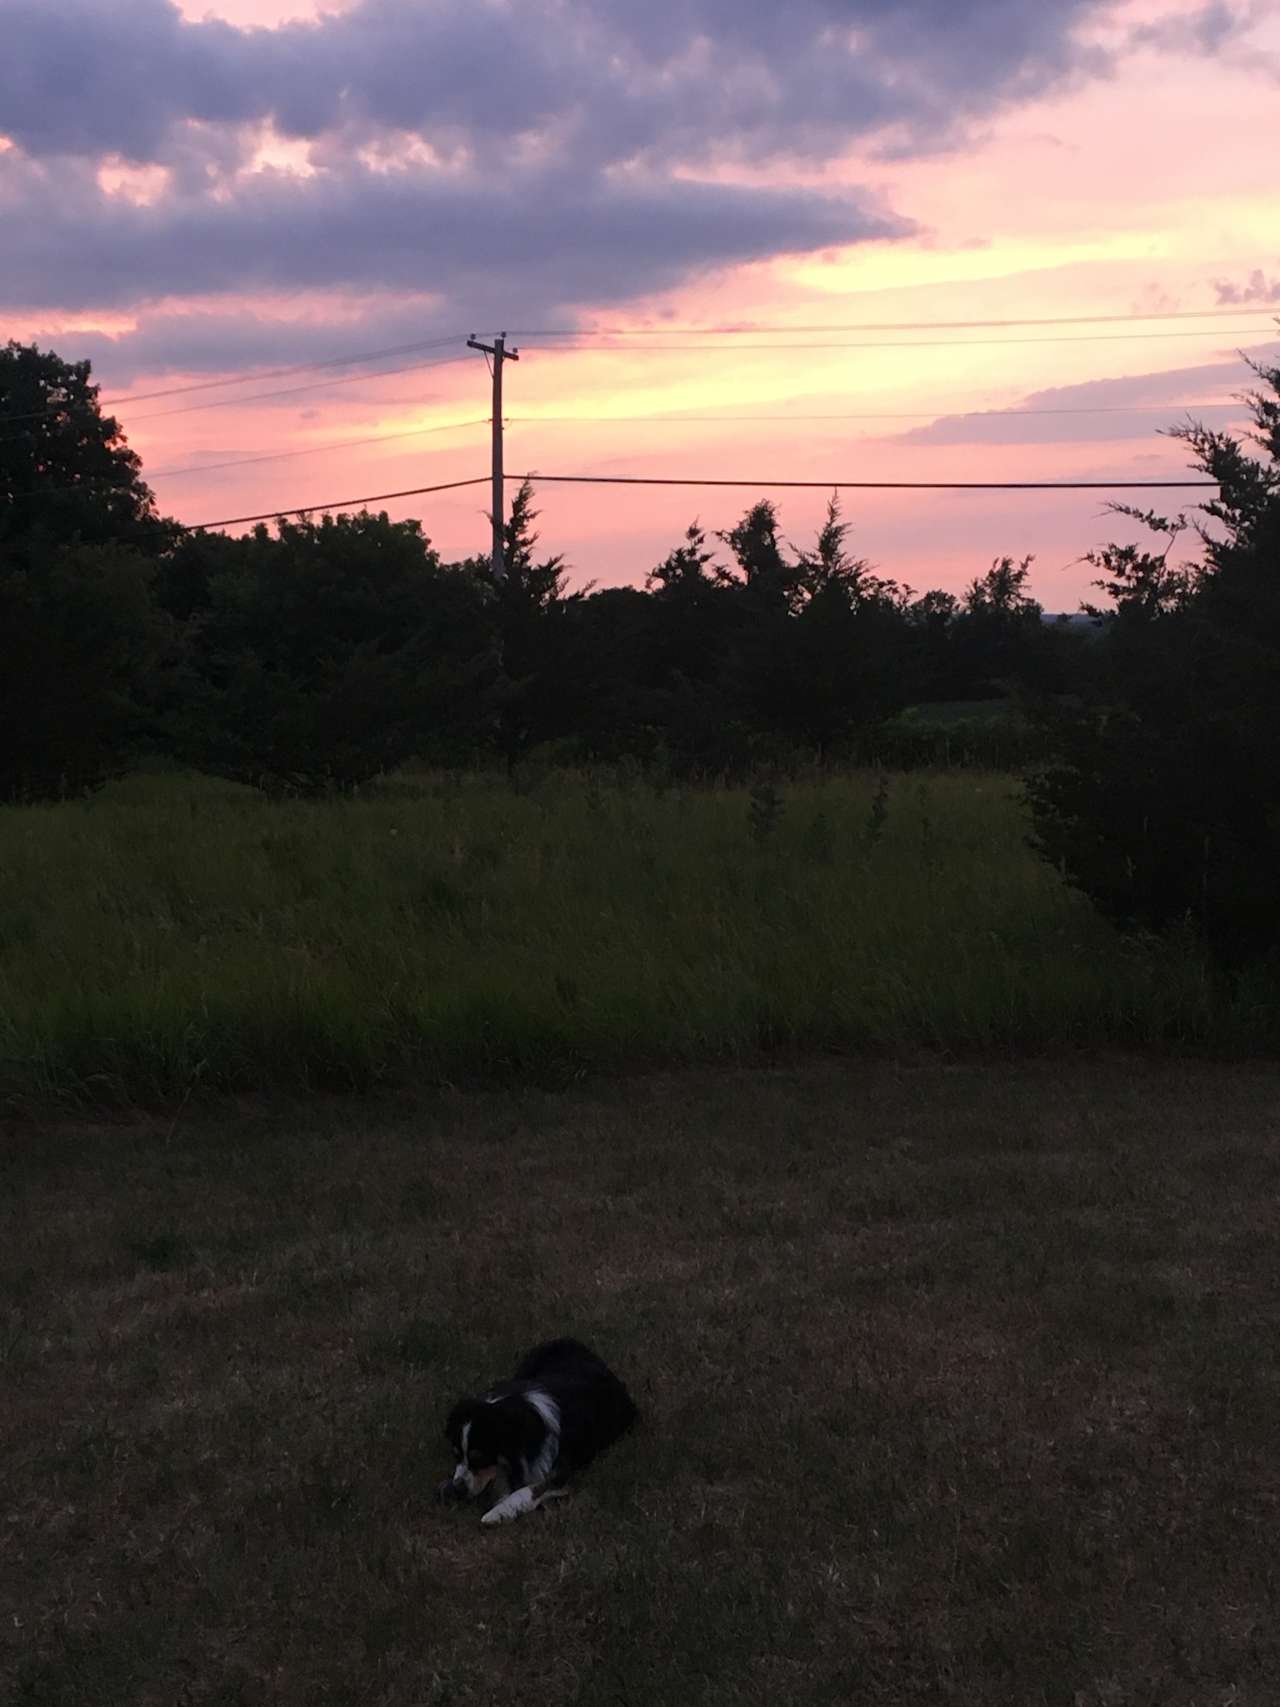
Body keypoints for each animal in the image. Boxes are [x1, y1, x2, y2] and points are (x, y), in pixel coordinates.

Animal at [440, 1338, 641, 1529]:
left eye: (479, 1459)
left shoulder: (561, 1472)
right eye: (455, 1455)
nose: (457, 1490)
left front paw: (499, 1512)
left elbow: (530, 1489)